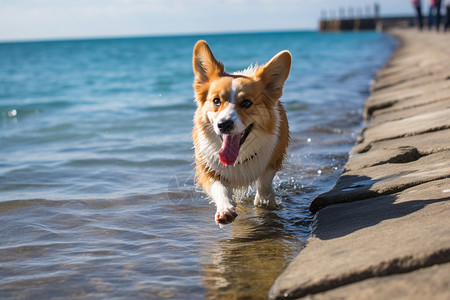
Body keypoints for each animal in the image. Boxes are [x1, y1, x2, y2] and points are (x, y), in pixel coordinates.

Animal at [191, 41, 290, 226]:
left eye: (246, 103)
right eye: (216, 101)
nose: (224, 124)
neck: (238, 157)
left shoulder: (274, 157)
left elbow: (265, 181)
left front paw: (264, 201)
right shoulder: (206, 167)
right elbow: (219, 188)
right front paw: (225, 209)